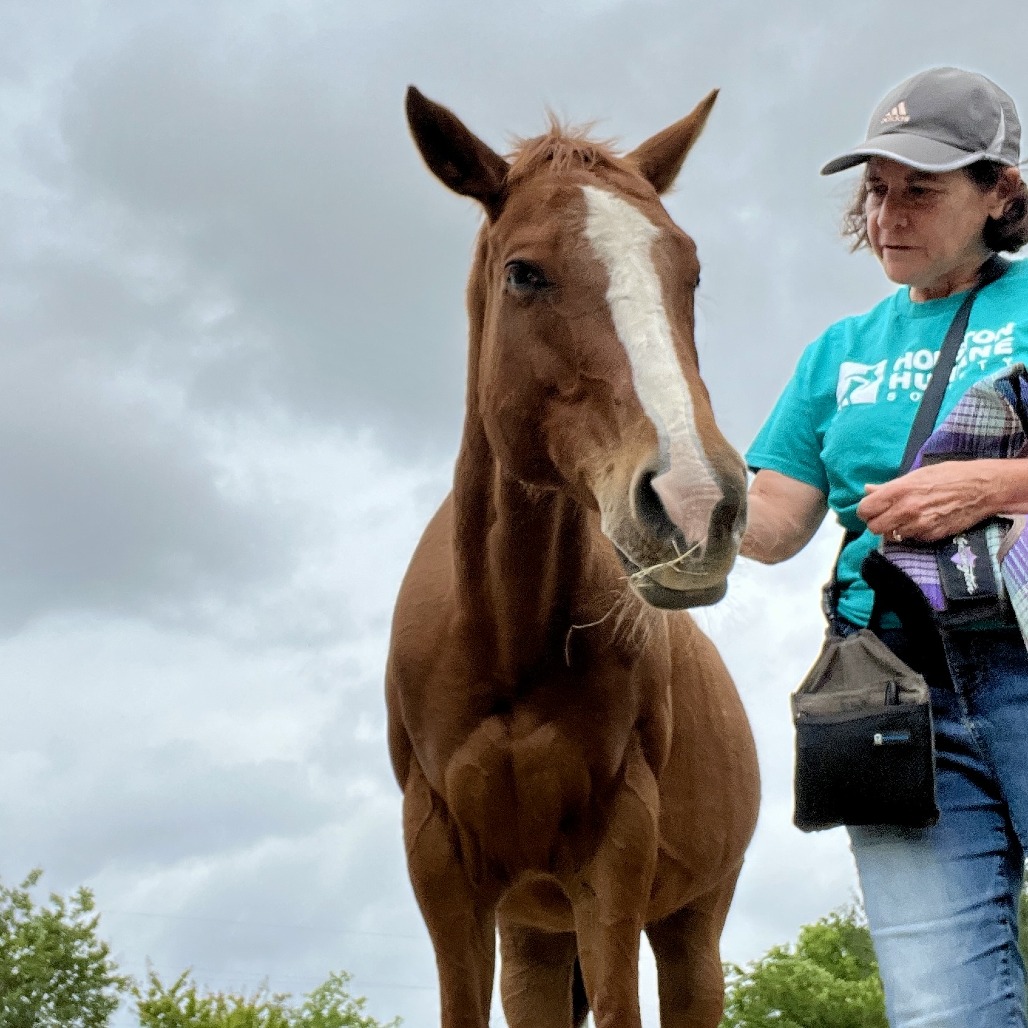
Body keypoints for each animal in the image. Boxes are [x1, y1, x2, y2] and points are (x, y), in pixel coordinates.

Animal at [386, 86, 759, 1028]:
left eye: (689, 270)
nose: (701, 503)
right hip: (534, 935)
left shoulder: (615, 859)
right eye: (524, 272)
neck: (504, 637)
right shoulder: (440, 864)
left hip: (690, 927)